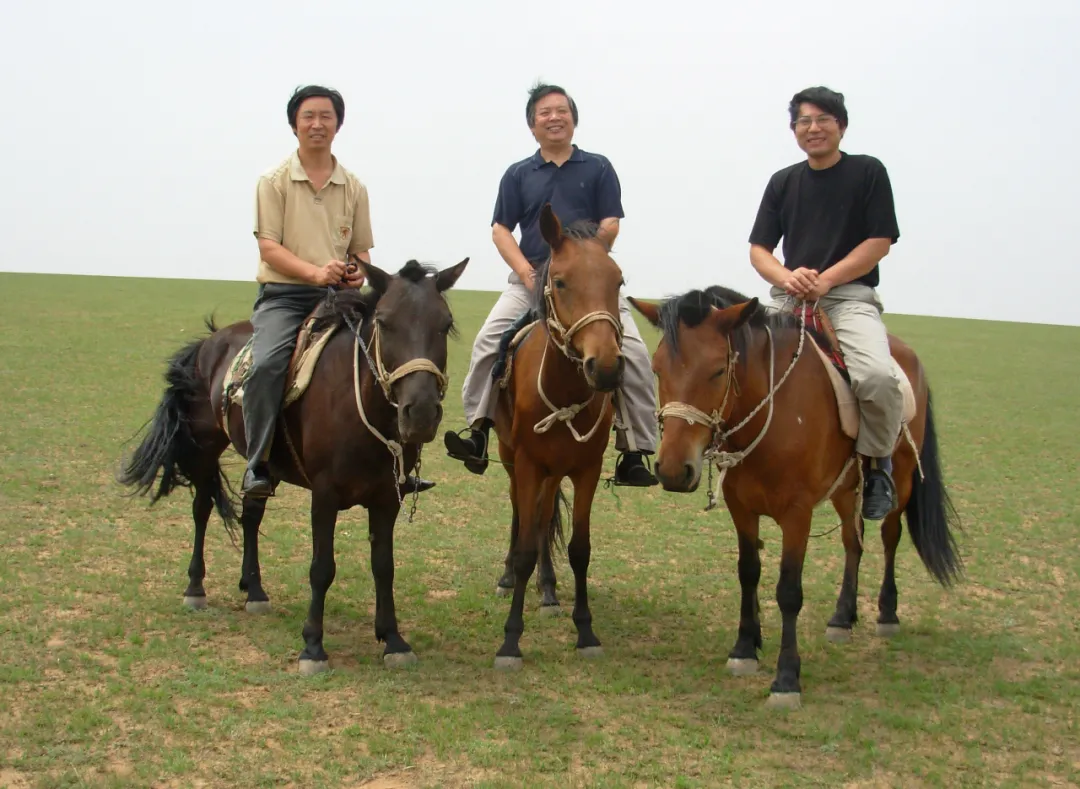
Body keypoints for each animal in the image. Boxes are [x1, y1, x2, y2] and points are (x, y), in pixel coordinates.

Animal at [118, 257, 468, 673]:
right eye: (384, 322)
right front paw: (313, 646)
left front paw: (393, 640)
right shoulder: (325, 495)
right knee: (201, 509)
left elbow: (384, 565)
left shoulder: (387, 497)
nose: (422, 413)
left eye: (445, 323)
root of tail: (210, 341)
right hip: (205, 448)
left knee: (251, 514)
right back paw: (195, 587)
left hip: (263, 467)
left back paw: (254, 590)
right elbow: (322, 568)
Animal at [490, 205, 626, 673]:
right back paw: (509, 576)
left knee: (542, 515)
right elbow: (526, 547)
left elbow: (579, 549)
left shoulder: (586, 469)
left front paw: (585, 631)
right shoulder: (528, 463)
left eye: (618, 282)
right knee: (520, 513)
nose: (606, 367)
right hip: (511, 458)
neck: (564, 393)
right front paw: (510, 641)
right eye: (562, 281)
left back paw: (547, 589)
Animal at [630, 284, 963, 708]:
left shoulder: (797, 514)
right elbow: (748, 572)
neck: (770, 414)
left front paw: (786, 678)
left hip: (901, 481)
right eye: (657, 369)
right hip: (845, 488)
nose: (673, 470)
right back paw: (842, 617)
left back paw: (887, 613)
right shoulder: (741, 508)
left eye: (718, 370)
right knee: (853, 543)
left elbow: (789, 591)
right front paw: (745, 647)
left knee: (890, 537)